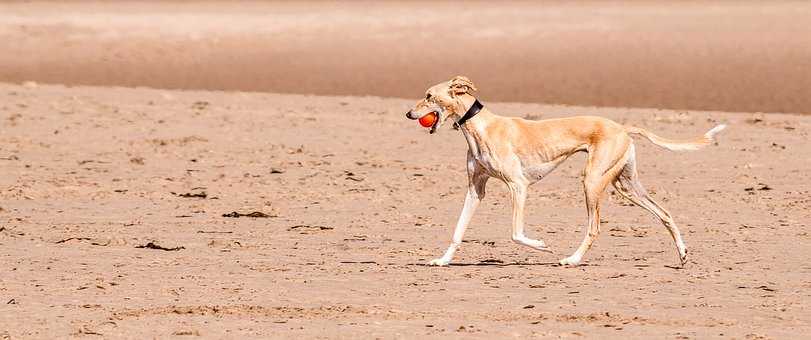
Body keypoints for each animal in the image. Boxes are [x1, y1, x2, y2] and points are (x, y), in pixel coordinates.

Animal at [410, 75, 728, 266]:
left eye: (429, 96)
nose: (409, 113)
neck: (481, 126)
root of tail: (623, 127)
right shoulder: (475, 189)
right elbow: (458, 230)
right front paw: (442, 260)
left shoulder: (518, 186)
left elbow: (516, 233)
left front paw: (542, 245)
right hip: (625, 185)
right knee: (665, 213)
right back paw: (682, 254)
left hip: (593, 181)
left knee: (594, 227)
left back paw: (572, 259)